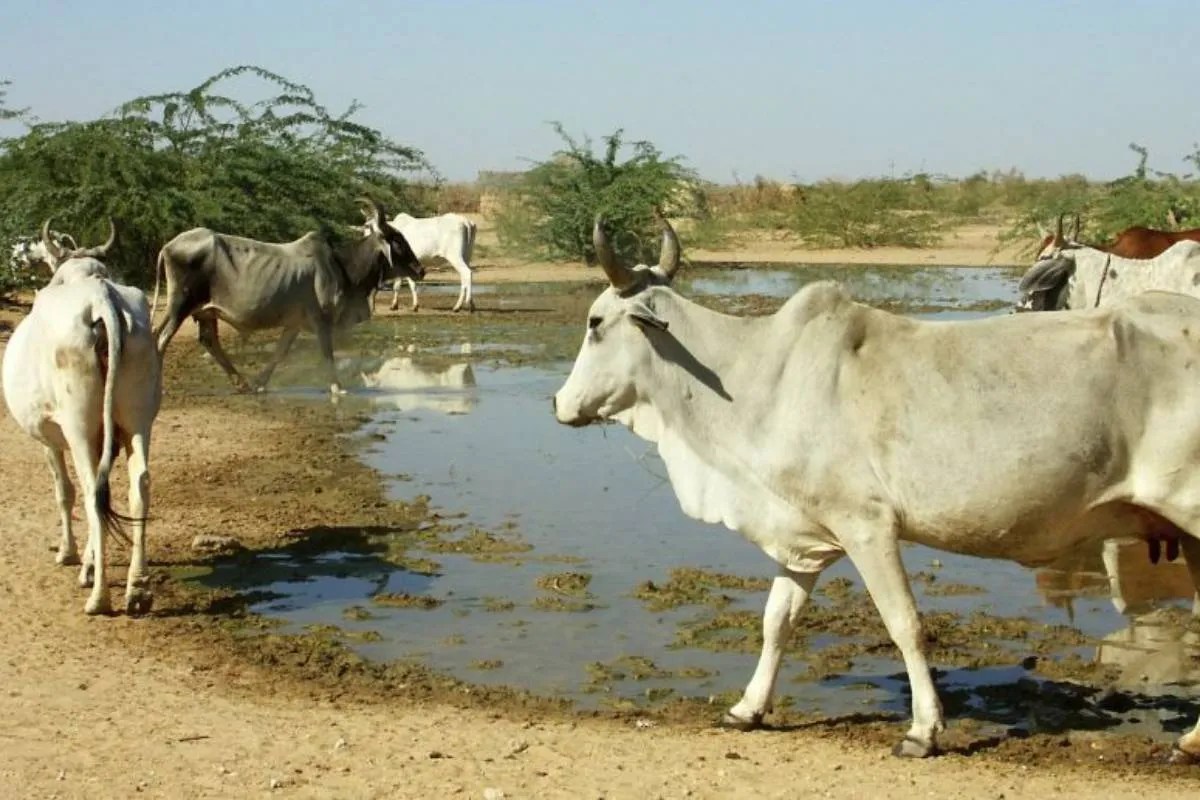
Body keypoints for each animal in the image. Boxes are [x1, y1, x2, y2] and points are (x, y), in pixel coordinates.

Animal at [2, 249, 161, 615]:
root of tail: (102, 298)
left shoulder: (50, 438)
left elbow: (63, 491)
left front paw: (70, 554)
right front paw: (88, 562)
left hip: (78, 428)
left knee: (90, 491)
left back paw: (99, 598)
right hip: (138, 420)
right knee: (138, 486)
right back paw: (137, 589)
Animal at [151, 200, 421, 395]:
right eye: (397, 240)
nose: (420, 269)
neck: (341, 266)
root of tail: (168, 245)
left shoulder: (294, 324)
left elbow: (280, 353)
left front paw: (260, 383)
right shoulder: (322, 320)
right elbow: (327, 353)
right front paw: (337, 387)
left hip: (204, 311)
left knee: (207, 341)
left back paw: (242, 383)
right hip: (179, 306)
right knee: (161, 339)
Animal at [553, 215, 1200, 762]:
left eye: (594, 323)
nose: (559, 402)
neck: (756, 377)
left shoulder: (868, 527)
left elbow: (904, 624)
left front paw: (923, 730)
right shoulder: (803, 536)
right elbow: (776, 621)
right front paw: (747, 709)